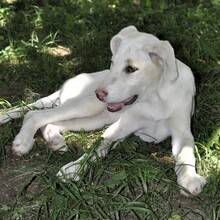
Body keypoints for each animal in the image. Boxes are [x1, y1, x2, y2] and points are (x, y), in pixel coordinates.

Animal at [0, 25, 206, 196]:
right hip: (87, 106)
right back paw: (23, 142)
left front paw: (189, 178)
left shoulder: (182, 132)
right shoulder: (121, 126)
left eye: (131, 68)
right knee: (34, 114)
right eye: (112, 63)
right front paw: (74, 169)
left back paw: (56, 141)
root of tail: (65, 85)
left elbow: (186, 153)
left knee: (51, 122)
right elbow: (97, 146)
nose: (99, 93)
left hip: (97, 118)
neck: (154, 98)